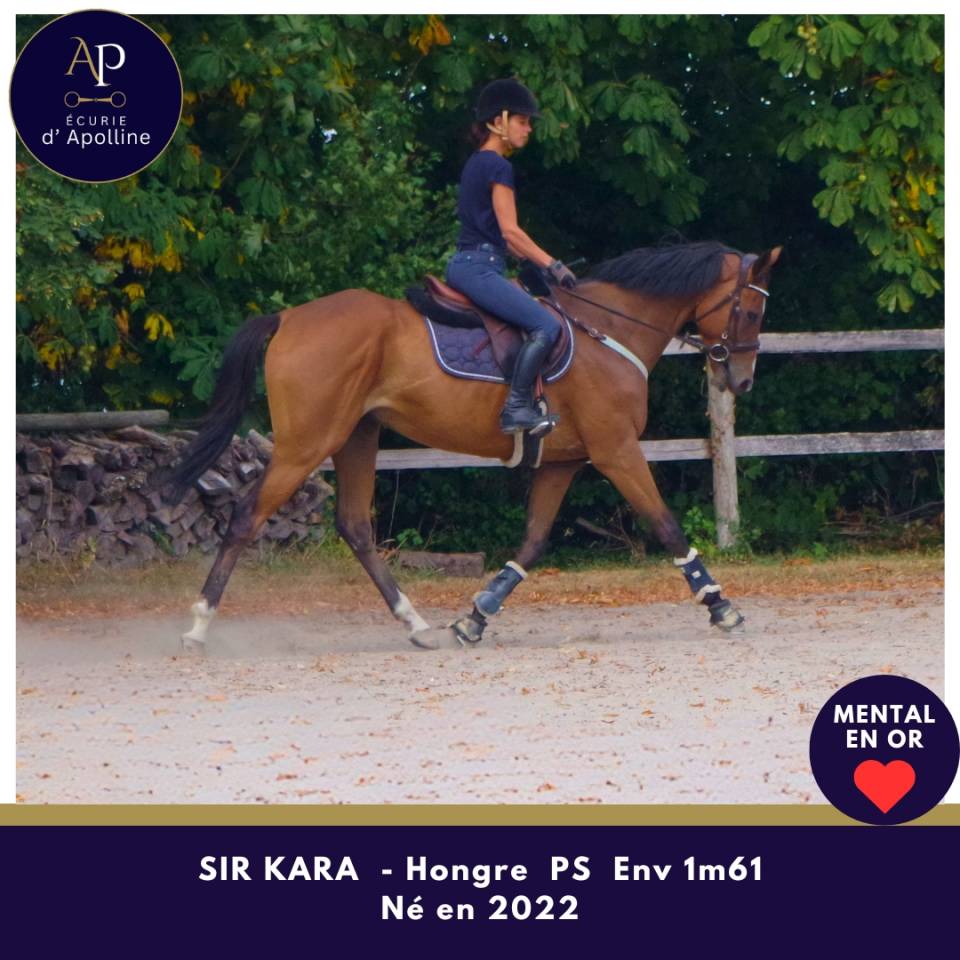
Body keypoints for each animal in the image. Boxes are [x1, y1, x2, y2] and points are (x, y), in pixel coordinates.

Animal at [168, 240, 781, 650]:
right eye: (751, 310)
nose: (744, 380)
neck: (609, 332)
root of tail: (290, 316)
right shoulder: (616, 451)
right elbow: (667, 525)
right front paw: (720, 604)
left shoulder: (563, 462)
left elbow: (532, 542)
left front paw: (477, 615)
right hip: (306, 443)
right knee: (247, 516)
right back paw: (198, 624)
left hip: (356, 436)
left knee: (356, 527)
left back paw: (415, 623)